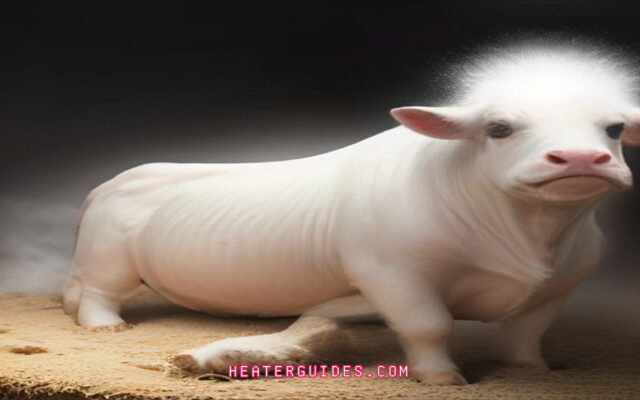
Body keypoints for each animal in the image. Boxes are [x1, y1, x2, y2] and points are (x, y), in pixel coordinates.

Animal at [63, 42, 640, 385]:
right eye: (499, 128)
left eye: (613, 129)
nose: (580, 158)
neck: (527, 240)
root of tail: (109, 183)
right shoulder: (392, 272)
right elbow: (429, 325)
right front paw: (441, 378)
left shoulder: (560, 285)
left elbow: (527, 334)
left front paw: (531, 367)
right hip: (111, 255)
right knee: (98, 294)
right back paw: (107, 329)